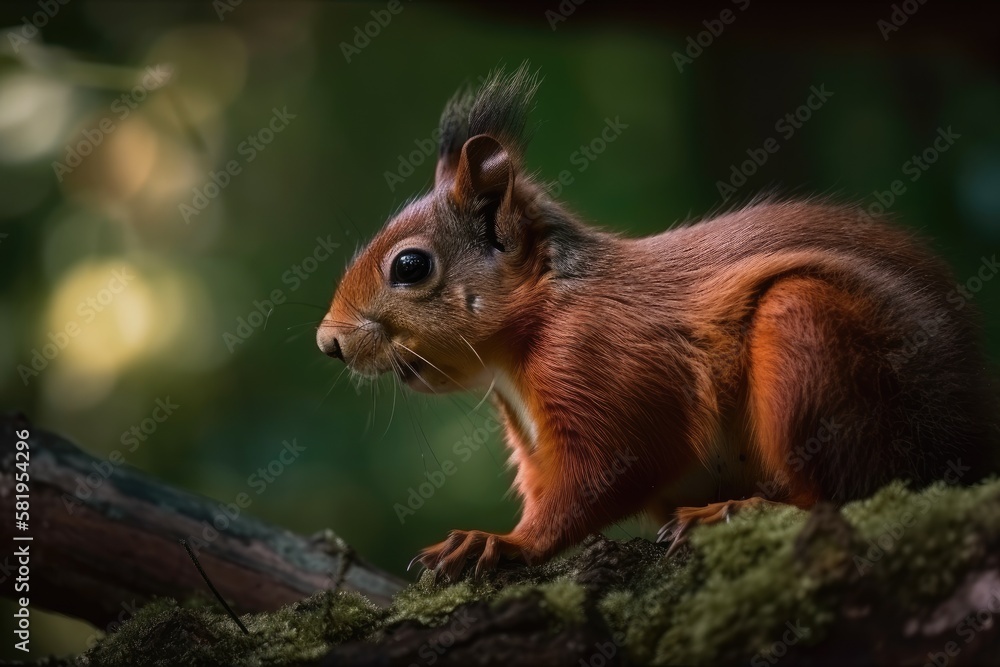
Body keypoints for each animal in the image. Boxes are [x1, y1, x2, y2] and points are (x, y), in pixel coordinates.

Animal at [316, 65, 996, 580]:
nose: (329, 342)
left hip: (818, 338)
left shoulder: (602, 359)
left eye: (410, 266)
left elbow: (614, 468)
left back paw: (737, 511)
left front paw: (503, 542)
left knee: (846, 491)